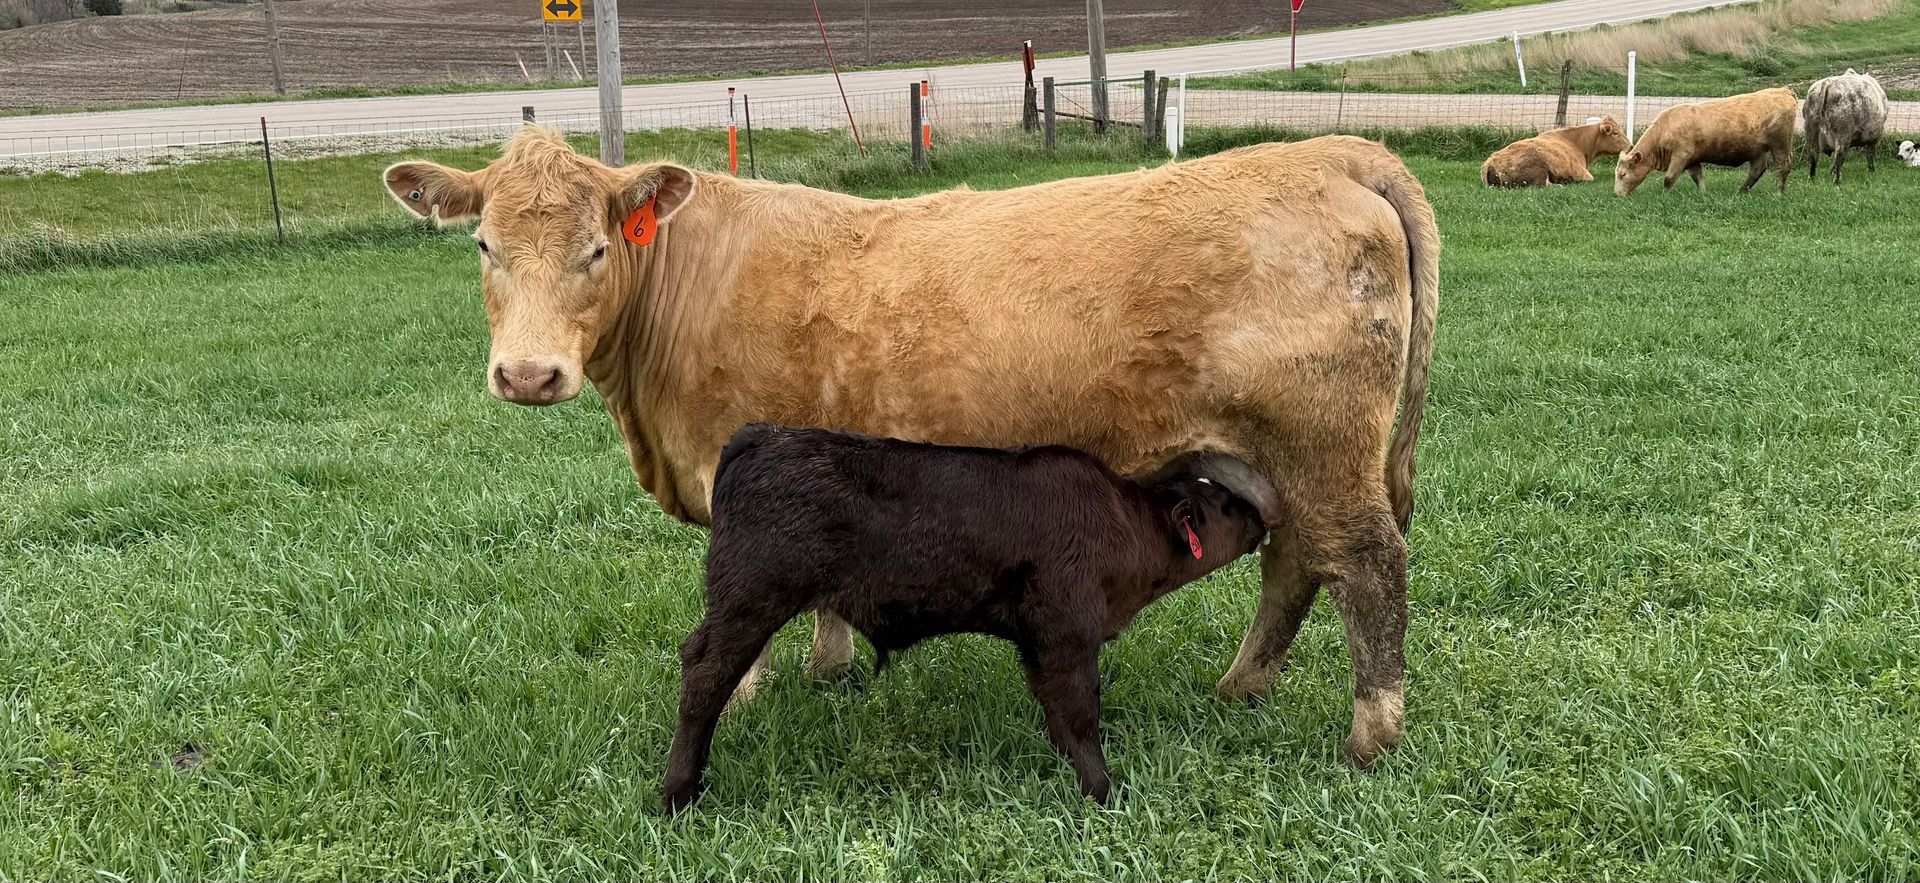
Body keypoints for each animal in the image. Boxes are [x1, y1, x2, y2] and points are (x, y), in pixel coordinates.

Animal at [379, 125, 1439, 766]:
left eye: (597, 248)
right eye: (483, 246)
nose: (528, 375)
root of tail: (1326, 152)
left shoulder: (736, 475)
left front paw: (749, 690)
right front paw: (829, 667)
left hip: (1322, 452)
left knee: (1365, 566)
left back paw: (1371, 735)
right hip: (1273, 463)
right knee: (1296, 563)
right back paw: (1241, 686)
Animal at [662, 424, 1276, 812]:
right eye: (1226, 504)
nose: (1263, 519)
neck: (1121, 524)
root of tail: (762, 436)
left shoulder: (1036, 640)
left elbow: (1057, 712)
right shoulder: (1066, 630)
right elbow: (1080, 712)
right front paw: (1102, 792)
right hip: (750, 599)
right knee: (705, 675)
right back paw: (679, 795)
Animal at [1614, 88, 1797, 196]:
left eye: (1622, 174)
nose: (1617, 195)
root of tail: (1783, 91)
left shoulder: (1681, 156)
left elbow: (1669, 178)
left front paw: (1664, 196)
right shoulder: (1693, 160)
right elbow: (1698, 178)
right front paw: (1703, 194)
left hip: (1780, 144)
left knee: (1783, 167)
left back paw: (1778, 194)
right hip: (1758, 150)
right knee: (1756, 170)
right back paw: (1741, 192)